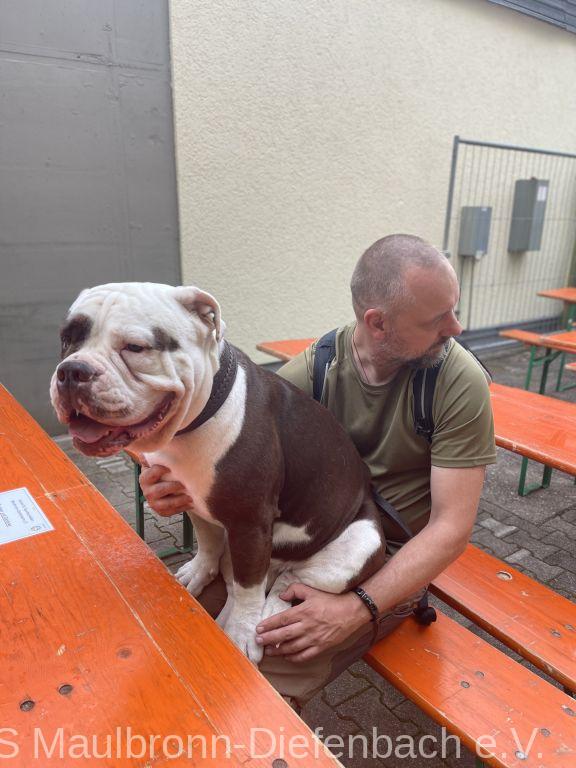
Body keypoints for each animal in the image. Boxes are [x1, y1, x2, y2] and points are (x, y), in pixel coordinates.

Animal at [50, 282, 386, 663]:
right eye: (67, 338)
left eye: (135, 347)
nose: (72, 371)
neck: (192, 422)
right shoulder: (193, 500)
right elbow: (209, 544)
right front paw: (198, 572)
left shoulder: (249, 524)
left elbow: (249, 589)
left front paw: (242, 633)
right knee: (243, 579)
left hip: (358, 546)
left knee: (288, 583)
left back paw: (268, 617)